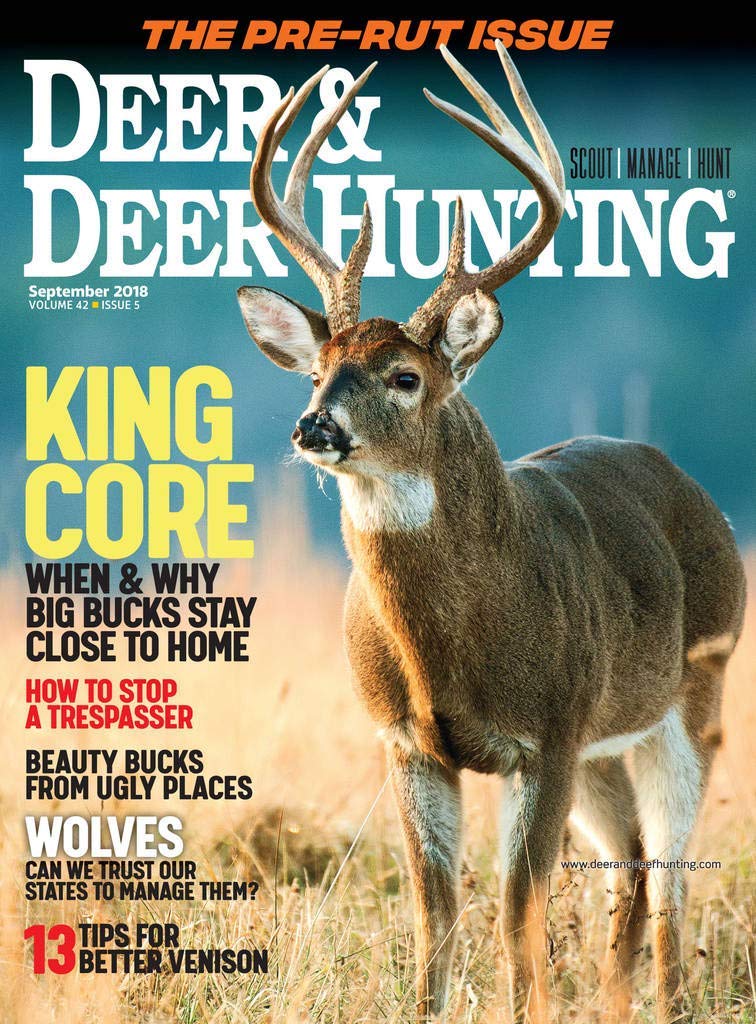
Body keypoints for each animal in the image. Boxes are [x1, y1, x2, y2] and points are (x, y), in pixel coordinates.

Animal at [236, 43, 746, 1023]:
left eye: (404, 376)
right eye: (318, 370)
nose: (314, 427)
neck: (454, 651)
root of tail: (692, 485)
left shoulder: (546, 733)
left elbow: (517, 913)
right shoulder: (404, 740)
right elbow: (435, 914)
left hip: (693, 692)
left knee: (670, 875)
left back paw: (666, 1002)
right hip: (602, 747)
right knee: (630, 862)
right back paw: (616, 1000)